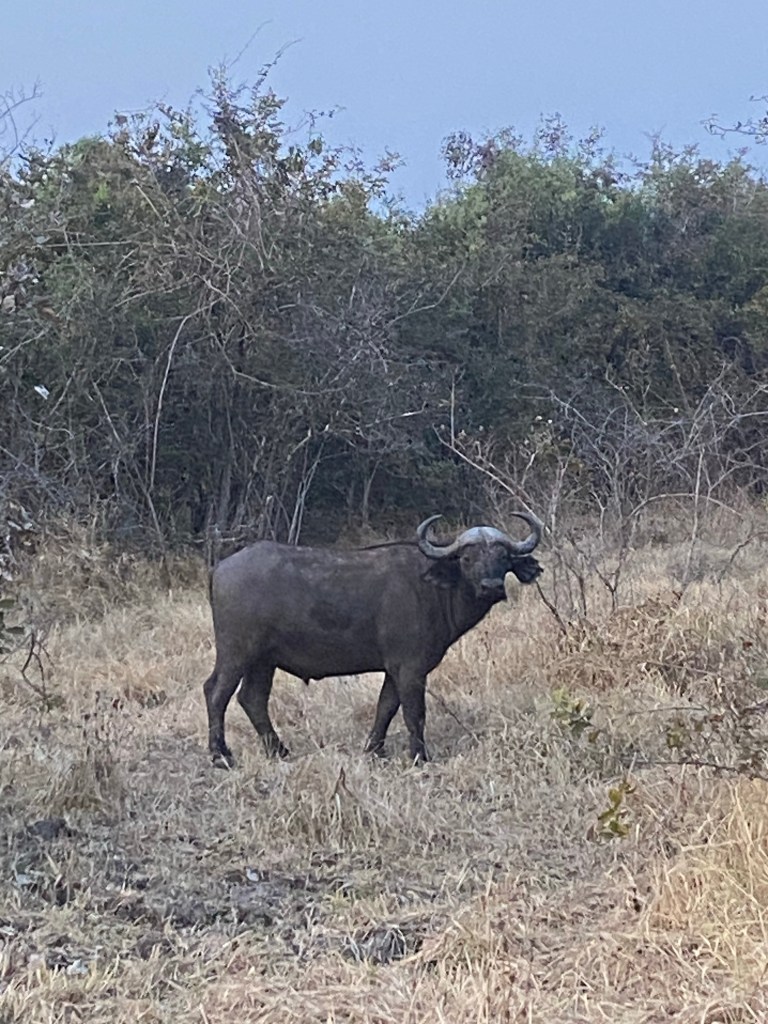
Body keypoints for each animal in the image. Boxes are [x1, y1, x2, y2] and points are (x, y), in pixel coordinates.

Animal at [203, 512, 543, 766]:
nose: (491, 587)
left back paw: (279, 750)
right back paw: (221, 755)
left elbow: (386, 707)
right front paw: (420, 756)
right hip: (237, 652)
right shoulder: (410, 668)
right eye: (467, 558)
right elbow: (414, 713)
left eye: (503, 556)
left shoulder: (394, 670)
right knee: (216, 692)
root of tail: (220, 568)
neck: (434, 588)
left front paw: (374, 749)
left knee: (252, 699)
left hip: (263, 660)